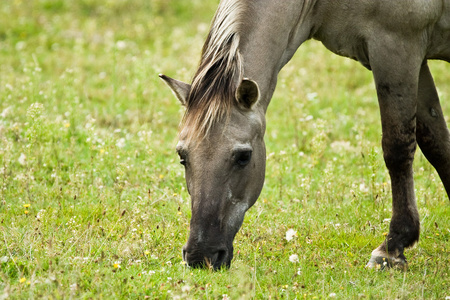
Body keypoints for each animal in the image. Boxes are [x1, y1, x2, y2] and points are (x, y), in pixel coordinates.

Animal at [161, 0, 450, 270]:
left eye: (243, 157)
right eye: (182, 157)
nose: (201, 256)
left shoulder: (397, 49)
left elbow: (398, 149)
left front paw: (391, 249)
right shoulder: (412, 60)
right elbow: (437, 144)